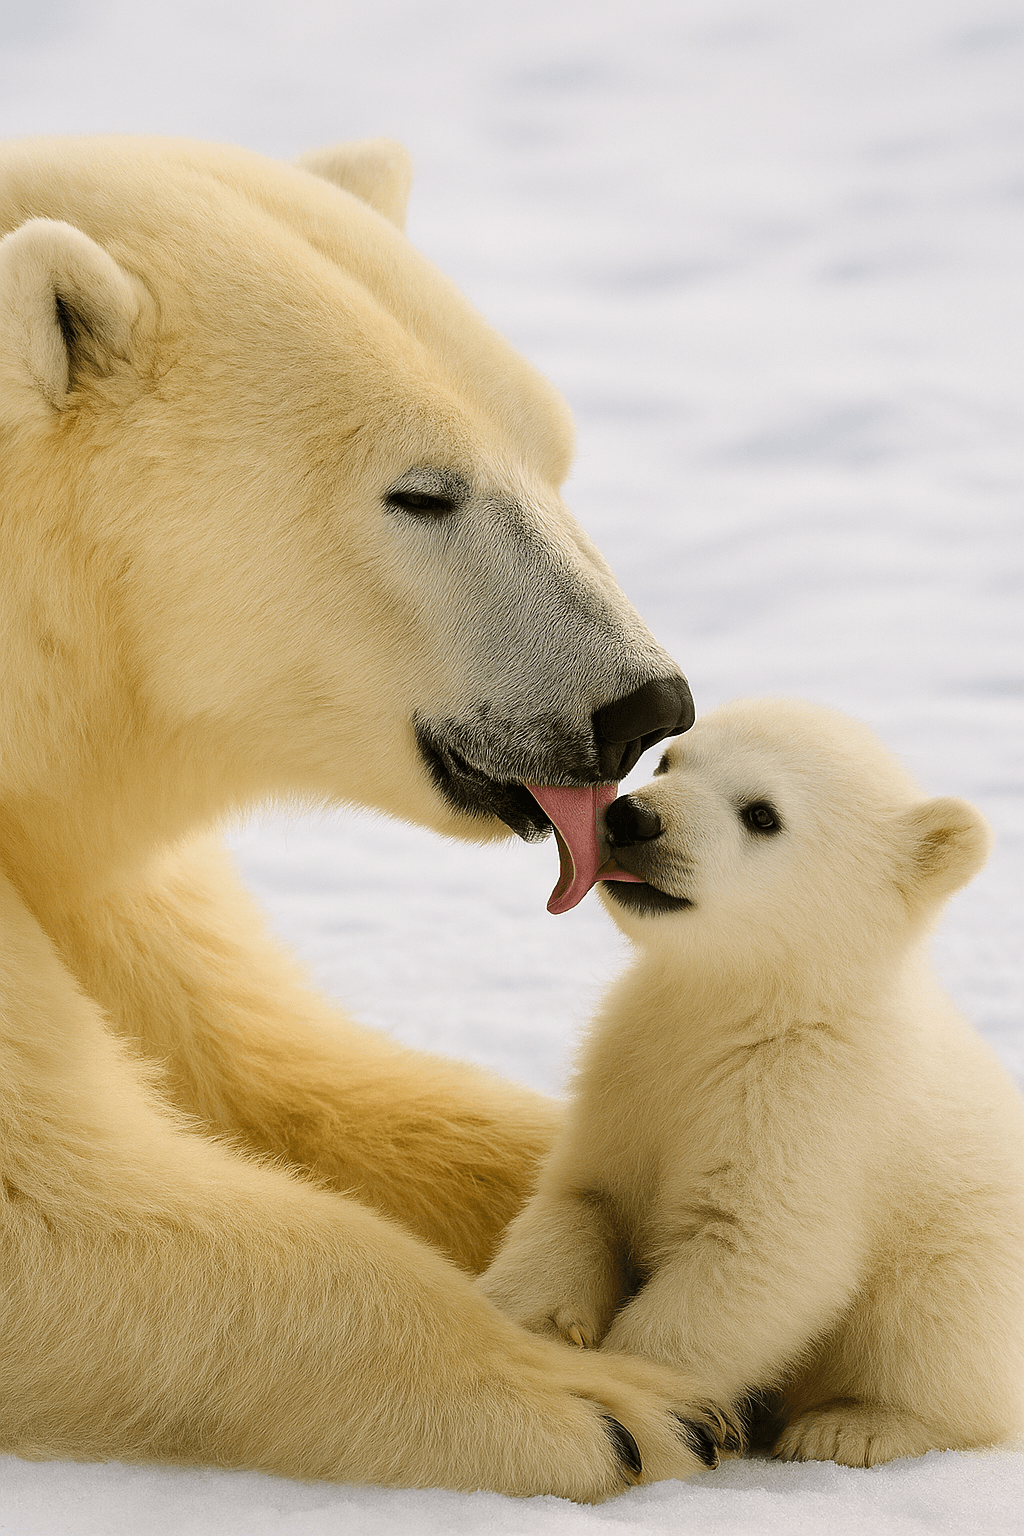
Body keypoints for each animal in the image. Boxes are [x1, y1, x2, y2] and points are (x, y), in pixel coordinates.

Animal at [0, 134, 722, 1499]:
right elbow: (44, 1195)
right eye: (423, 492)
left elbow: (274, 1071)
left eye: (554, 451)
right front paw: (611, 1406)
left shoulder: (83, 844)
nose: (638, 705)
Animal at [479, 698, 1024, 1467]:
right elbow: (581, 1200)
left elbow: (757, 1251)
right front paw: (542, 1328)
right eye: (669, 761)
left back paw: (853, 1425)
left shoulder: (808, 1104)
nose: (633, 819)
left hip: (966, 1263)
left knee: (936, 1340)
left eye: (762, 815)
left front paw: (648, 1397)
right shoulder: (628, 1068)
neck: (750, 1009)